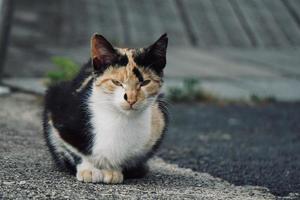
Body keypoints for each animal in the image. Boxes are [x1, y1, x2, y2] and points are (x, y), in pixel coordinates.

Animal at [42, 33, 169, 184]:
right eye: (116, 82)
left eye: (145, 82)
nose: (131, 99)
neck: (120, 118)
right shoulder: (57, 109)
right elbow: (75, 150)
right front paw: (89, 169)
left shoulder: (159, 123)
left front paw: (113, 170)